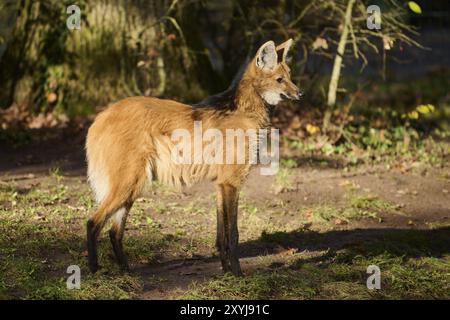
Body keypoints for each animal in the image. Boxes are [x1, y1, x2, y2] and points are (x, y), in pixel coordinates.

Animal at [85, 39, 300, 276]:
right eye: (280, 80)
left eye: (290, 75)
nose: (300, 93)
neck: (246, 111)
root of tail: (101, 117)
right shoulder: (231, 183)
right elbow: (233, 233)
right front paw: (238, 273)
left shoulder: (221, 184)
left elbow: (221, 235)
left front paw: (226, 270)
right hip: (130, 183)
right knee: (93, 222)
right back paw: (94, 269)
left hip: (133, 186)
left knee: (114, 231)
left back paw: (126, 269)